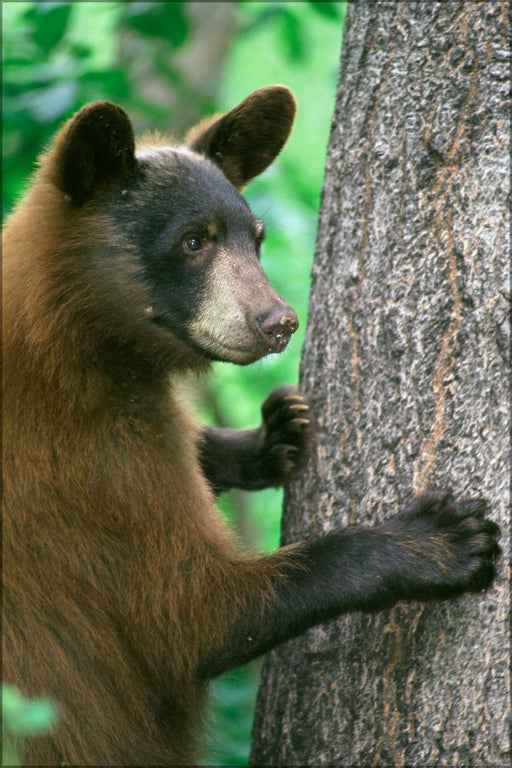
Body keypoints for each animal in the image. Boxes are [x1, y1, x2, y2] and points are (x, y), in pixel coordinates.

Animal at [2, 86, 500, 765]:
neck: (70, 342)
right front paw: (435, 542)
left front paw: (270, 436)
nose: (280, 321)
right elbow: (189, 614)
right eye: (194, 241)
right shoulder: (90, 462)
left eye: (255, 237)